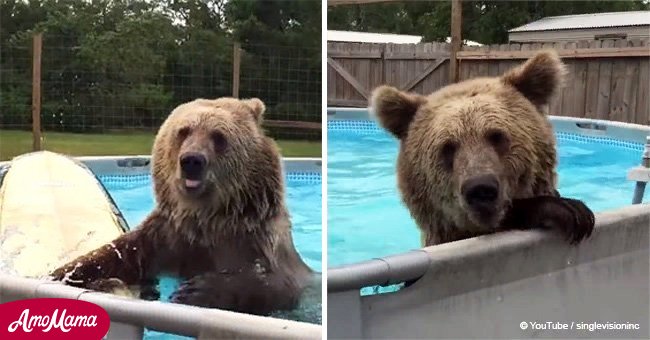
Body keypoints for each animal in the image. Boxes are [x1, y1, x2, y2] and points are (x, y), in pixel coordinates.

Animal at [50, 96, 314, 316]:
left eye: (219, 136)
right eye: (184, 131)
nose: (192, 161)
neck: (206, 219)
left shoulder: (253, 241)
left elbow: (274, 284)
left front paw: (195, 290)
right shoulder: (165, 239)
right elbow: (113, 257)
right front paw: (62, 274)